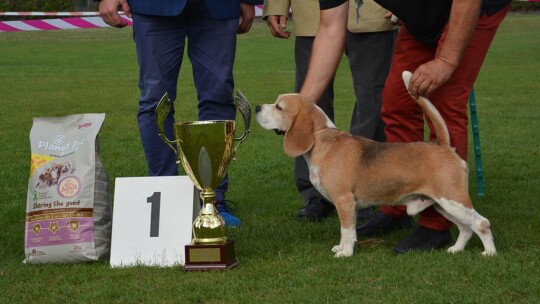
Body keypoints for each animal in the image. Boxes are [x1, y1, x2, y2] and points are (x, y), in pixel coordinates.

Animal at [255, 72, 496, 258]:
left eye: (279, 107)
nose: (257, 107)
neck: (322, 139)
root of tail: (444, 146)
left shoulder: (344, 201)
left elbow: (347, 230)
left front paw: (346, 252)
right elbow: (344, 232)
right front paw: (340, 248)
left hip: (453, 200)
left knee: (482, 223)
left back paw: (490, 253)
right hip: (442, 204)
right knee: (465, 227)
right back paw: (456, 249)